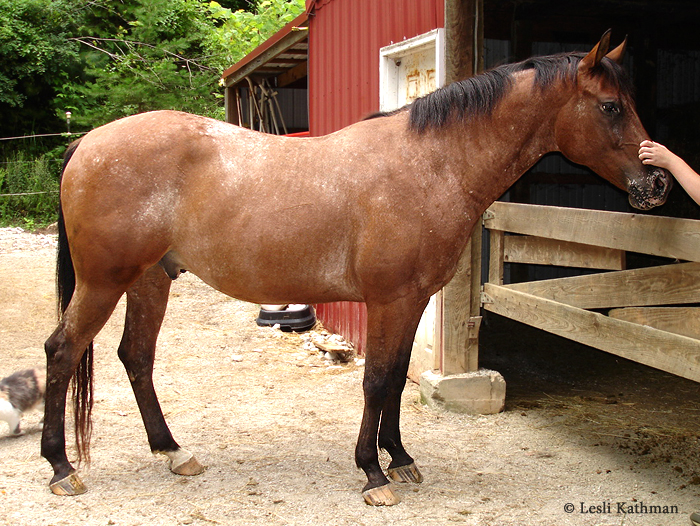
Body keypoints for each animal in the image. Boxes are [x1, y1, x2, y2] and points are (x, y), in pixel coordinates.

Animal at [43, 32, 672, 508]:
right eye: (611, 106)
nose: (659, 182)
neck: (432, 164)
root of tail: (87, 143)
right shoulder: (388, 300)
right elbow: (374, 380)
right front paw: (373, 474)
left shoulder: (412, 299)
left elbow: (395, 378)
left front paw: (402, 460)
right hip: (104, 283)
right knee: (62, 351)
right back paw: (60, 468)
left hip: (150, 279)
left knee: (136, 357)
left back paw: (174, 453)